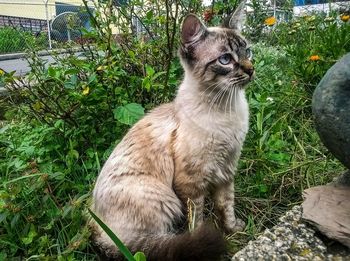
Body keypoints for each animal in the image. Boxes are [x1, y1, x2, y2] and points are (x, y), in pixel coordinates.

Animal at [90, 1, 254, 258]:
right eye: (226, 59)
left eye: (248, 52)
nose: (250, 70)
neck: (226, 109)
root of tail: (97, 230)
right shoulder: (191, 184)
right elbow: (197, 220)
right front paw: (205, 237)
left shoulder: (226, 171)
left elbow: (226, 206)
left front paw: (233, 230)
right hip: (163, 197)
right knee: (151, 244)